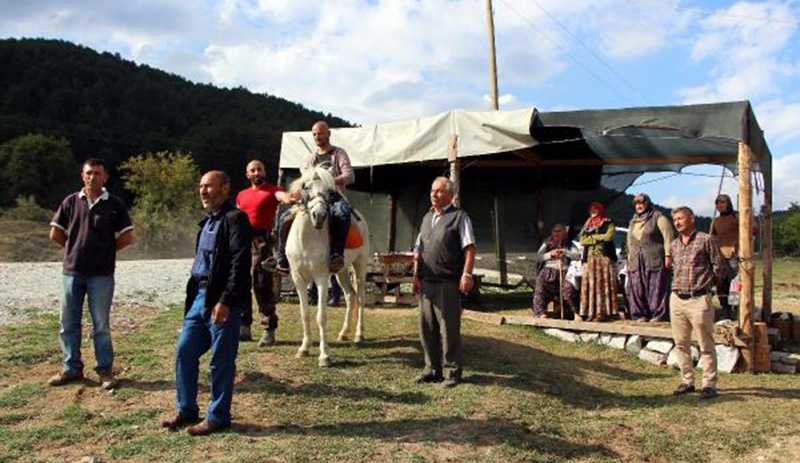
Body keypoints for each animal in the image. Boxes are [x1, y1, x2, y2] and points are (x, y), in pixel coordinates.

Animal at [286, 166, 370, 366]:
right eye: (306, 187)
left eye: (329, 191)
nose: (319, 216)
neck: (306, 239)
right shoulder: (298, 278)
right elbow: (305, 313)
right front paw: (304, 348)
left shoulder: (321, 278)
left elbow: (321, 317)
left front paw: (324, 356)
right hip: (341, 271)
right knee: (350, 295)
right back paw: (343, 333)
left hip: (360, 265)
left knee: (361, 297)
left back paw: (359, 335)